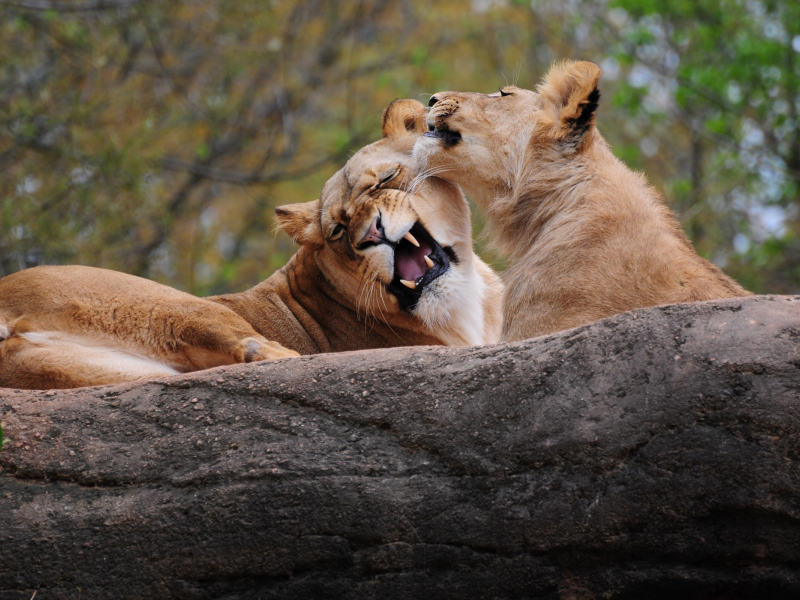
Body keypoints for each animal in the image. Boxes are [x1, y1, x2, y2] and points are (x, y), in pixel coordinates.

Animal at [0, 98, 500, 390]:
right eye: (338, 231)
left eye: (386, 180)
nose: (371, 234)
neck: (469, 303)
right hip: (162, 299)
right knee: (250, 348)